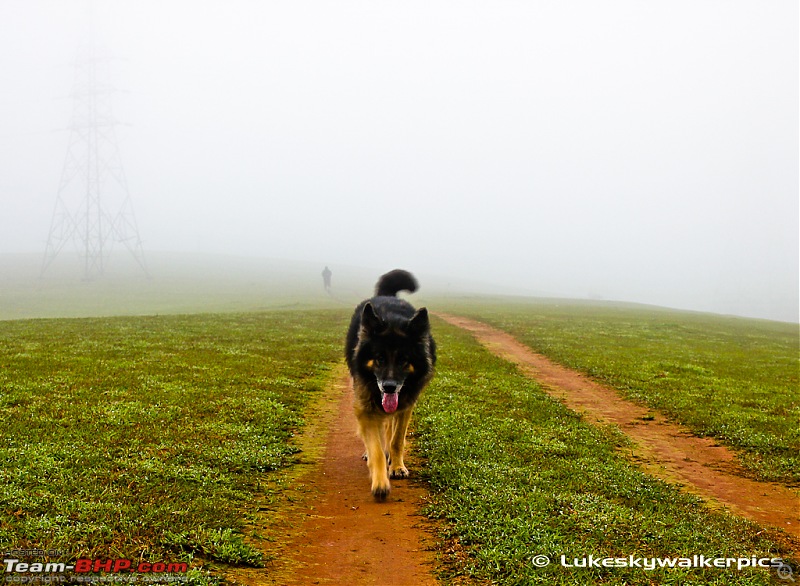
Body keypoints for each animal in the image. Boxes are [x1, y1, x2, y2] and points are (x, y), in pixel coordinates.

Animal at [346, 268, 438, 498]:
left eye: (404, 360)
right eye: (379, 358)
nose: (388, 386)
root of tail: (387, 296)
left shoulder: (405, 405)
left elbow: (397, 440)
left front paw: (396, 466)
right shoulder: (367, 406)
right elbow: (376, 448)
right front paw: (380, 482)